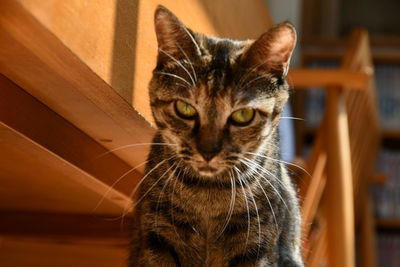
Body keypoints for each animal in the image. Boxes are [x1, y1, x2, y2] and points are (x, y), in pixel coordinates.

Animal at [130, 4, 302, 267]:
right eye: (185, 108)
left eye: (243, 115)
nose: (208, 152)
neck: (207, 192)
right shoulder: (157, 235)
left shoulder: (257, 245)